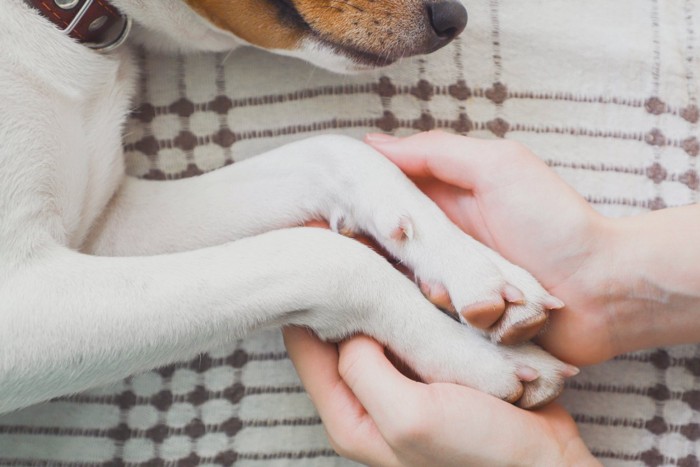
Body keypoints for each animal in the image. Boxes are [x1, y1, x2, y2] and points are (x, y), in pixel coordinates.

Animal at [0, 0, 576, 416]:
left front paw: (480, 270)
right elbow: (323, 257)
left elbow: (336, 151)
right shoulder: (25, 301)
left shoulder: (107, 222)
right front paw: (482, 357)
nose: (454, 18)